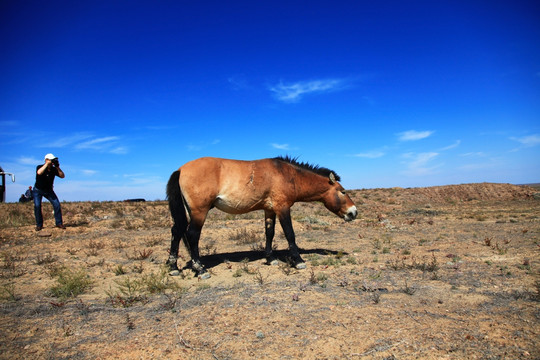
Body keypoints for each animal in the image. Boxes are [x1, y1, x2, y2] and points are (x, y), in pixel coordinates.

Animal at [167, 155, 356, 278]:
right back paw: (200, 269)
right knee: (192, 235)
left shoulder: (269, 210)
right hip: (199, 211)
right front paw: (298, 261)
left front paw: (270, 259)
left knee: (177, 231)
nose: (353, 212)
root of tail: (180, 169)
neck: (287, 174)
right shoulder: (282, 208)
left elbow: (269, 233)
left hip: (187, 212)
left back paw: (173, 267)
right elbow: (290, 234)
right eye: (342, 191)